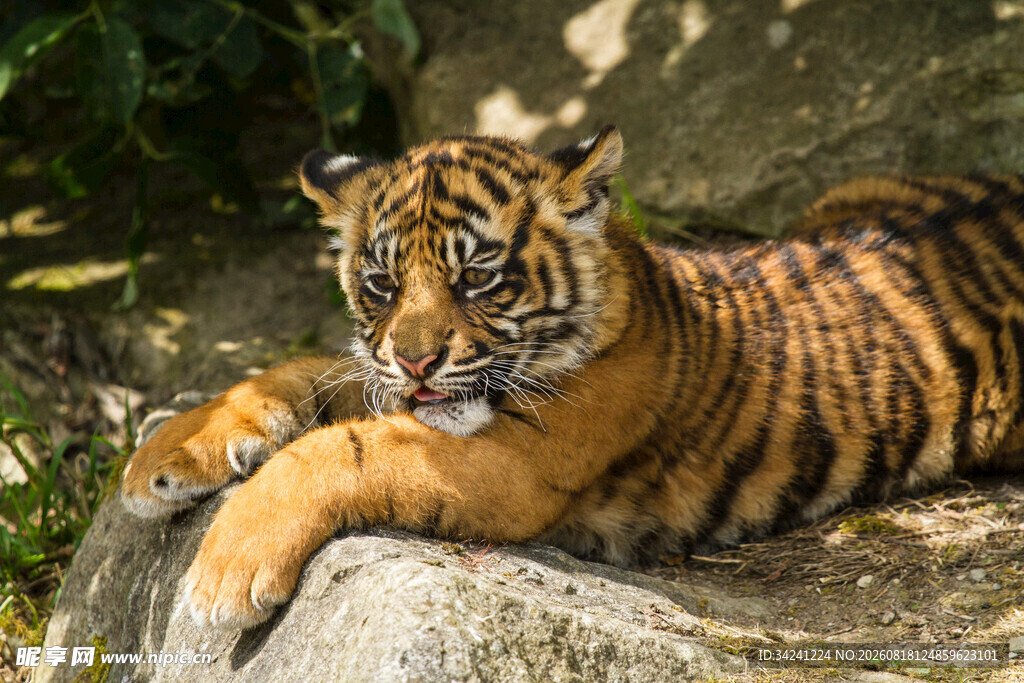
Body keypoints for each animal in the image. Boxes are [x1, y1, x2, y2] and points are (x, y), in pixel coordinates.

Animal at [120, 125, 1024, 630]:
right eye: (380, 281)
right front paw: (161, 458)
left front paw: (225, 571)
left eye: (477, 278)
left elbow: (342, 449)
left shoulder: (513, 462)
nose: (416, 359)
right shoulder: (389, 380)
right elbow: (299, 372)